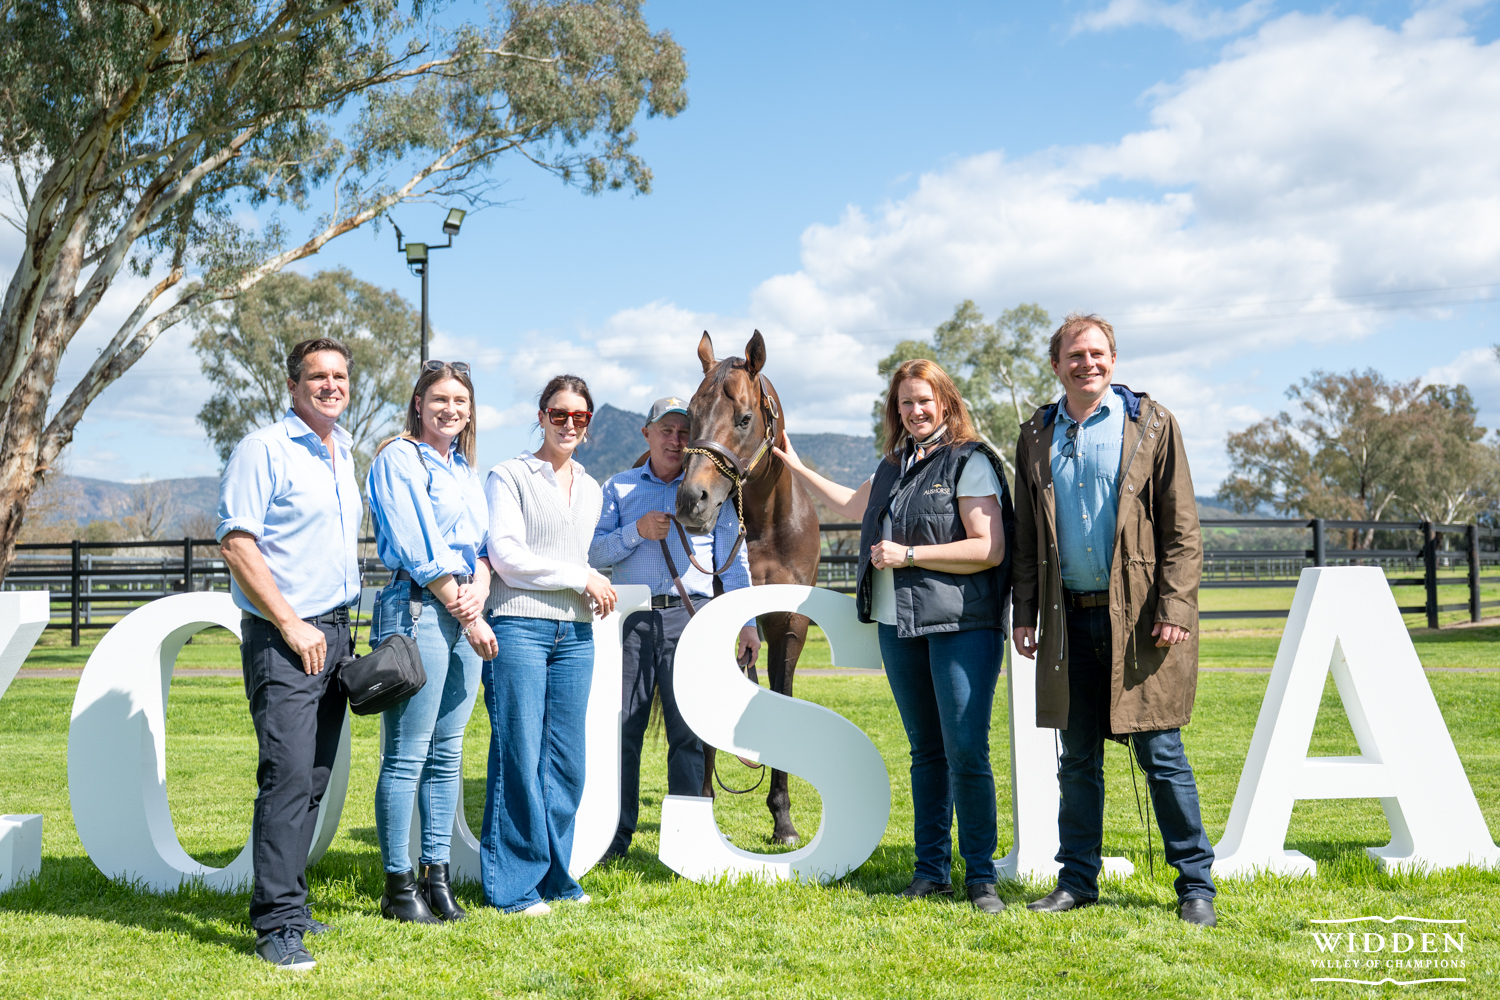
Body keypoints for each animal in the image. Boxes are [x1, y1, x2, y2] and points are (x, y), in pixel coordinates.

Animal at [674, 330, 822, 844]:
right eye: (690, 416)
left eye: (743, 417)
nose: (691, 500)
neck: (763, 527)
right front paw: (702, 806)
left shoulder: (788, 626)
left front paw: (783, 820)